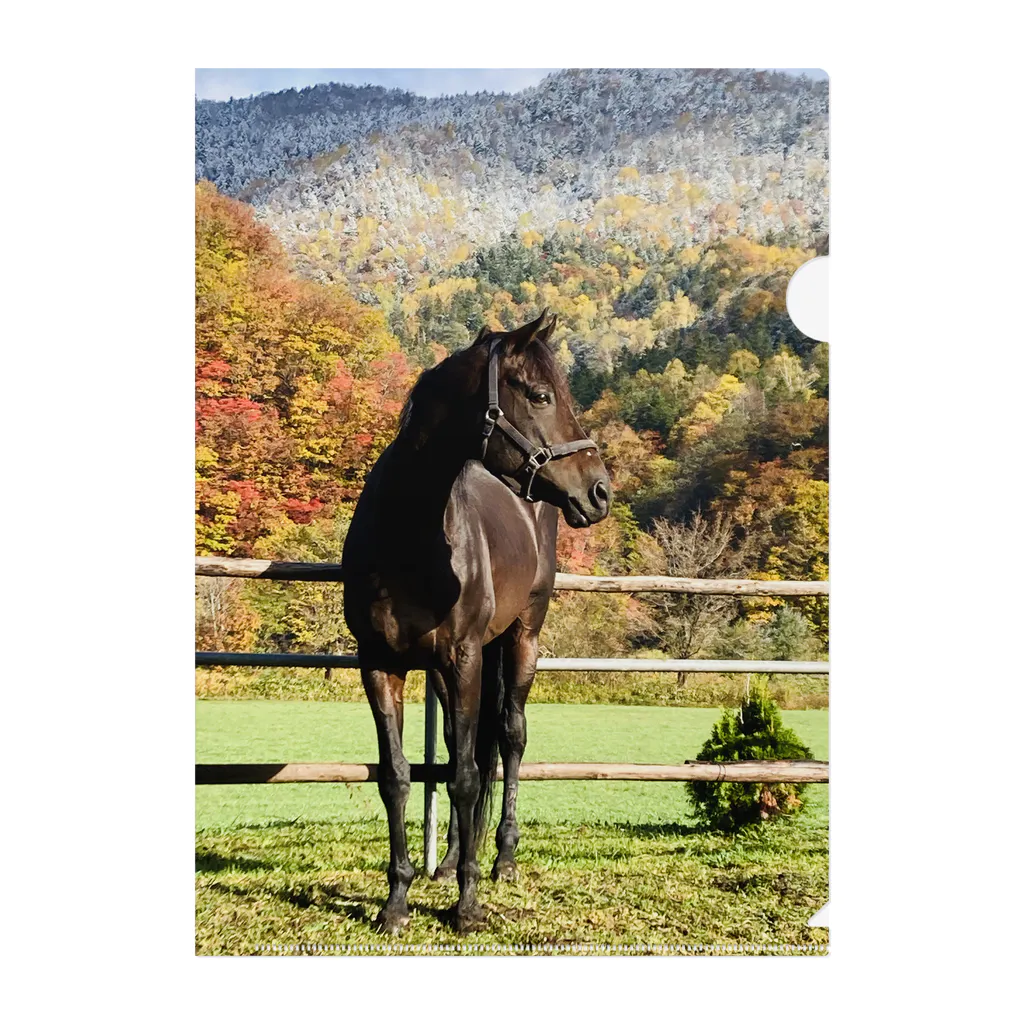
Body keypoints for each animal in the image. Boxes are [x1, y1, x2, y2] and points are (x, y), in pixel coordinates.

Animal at [344, 313, 610, 937]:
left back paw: (501, 859)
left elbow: (466, 777)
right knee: (463, 748)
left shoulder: (464, 656)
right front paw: (397, 902)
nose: (600, 491)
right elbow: (399, 775)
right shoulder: (380, 664)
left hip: (520, 640)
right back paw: (447, 862)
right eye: (539, 395)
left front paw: (467, 906)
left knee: (509, 739)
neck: (408, 538)